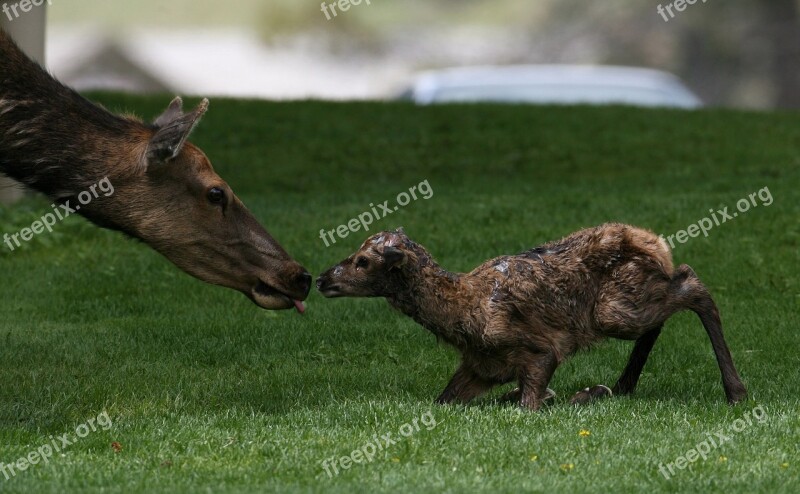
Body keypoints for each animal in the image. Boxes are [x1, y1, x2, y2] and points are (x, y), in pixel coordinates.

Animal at [316, 224, 748, 410]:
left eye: (363, 260)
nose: (321, 279)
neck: (463, 314)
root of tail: (657, 243)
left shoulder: (540, 350)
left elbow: (529, 405)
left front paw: (582, 394)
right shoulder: (480, 366)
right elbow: (444, 400)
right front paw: (583, 391)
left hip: (612, 312)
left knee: (692, 283)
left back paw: (735, 391)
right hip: (629, 299)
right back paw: (623, 384)